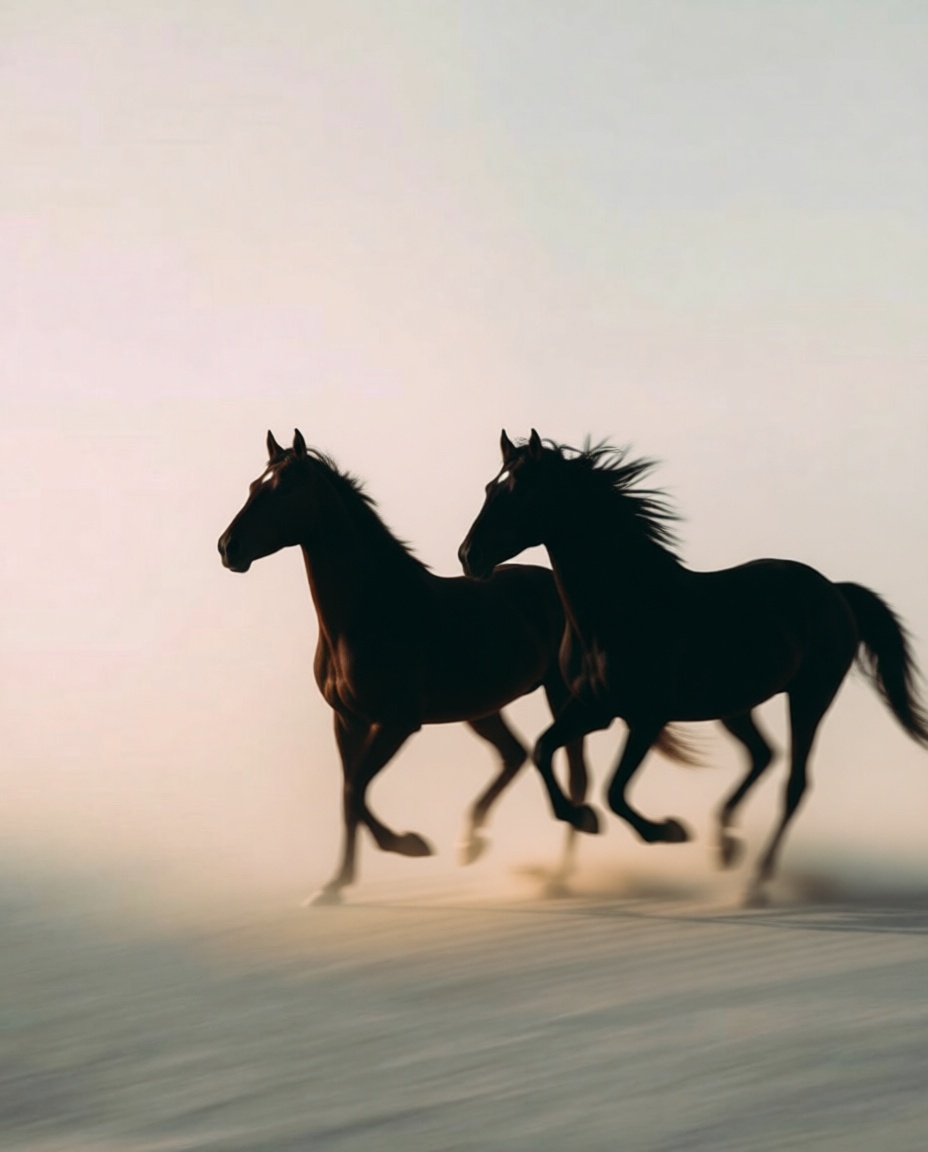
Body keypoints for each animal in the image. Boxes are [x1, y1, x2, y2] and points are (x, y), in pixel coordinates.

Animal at [219, 430, 687, 903]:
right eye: (253, 487)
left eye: (283, 490)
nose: (228, 548)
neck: (368, 613)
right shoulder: (347, 720)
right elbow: (349, 794)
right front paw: (335, 885)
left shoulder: (396, 723)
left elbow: (356, 789)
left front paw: (408, 844)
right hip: (482, 707)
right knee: (514, 754)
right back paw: (474, 842)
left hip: (558, 694)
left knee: (572, 775)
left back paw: (561, 868)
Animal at [459, 429, 928, 903]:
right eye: (489, 488)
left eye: (522, 491)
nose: (468, 556)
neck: (622, 609)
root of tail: (834, 590)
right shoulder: (593, 709)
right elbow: (543, 750)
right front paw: (583, 819)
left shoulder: (645, 718)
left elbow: (614, 792)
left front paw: (667, 831)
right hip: (736, 705)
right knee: (762, 755)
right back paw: (725, 844)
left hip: (810, 695)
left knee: (794, 783)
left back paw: (755, 883)